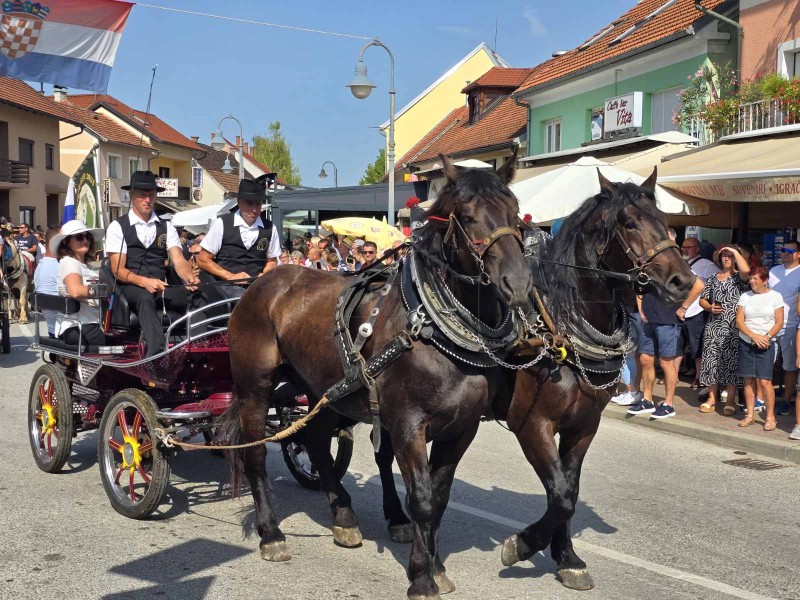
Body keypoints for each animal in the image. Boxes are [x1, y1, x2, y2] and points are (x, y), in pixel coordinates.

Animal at [220, 156, 532, 600]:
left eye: (515, 212)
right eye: (469, 217)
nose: (518, 283)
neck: (431, 327)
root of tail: (263, 283)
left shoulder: (462, 428)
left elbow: (439, 498)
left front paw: (436, 564)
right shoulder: (407, 425)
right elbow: (421, 498)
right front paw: (421, 576)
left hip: (320, 388)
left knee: (316, 441)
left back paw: (343, 516)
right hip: (255, 387)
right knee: (256, 454)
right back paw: (272, 534)